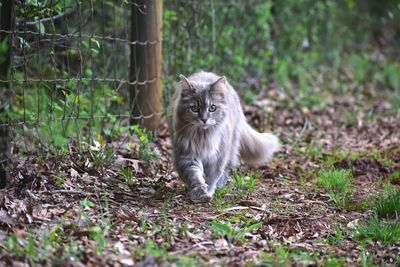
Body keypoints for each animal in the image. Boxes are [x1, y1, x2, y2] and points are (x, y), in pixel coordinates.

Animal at [167, 72, 280, 202]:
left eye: (212, 108)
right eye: (194, 109)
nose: (204, 119)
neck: (203, 137)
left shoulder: (218, 157)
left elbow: (211, 177)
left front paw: (209, 191)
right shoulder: (187, 155)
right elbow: (194, 176)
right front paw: (200, 193)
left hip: (231, 146)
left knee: (227, 168)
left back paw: (220, 184)